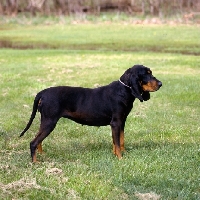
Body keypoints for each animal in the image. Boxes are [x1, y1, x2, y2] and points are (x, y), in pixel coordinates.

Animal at [19, 65, 161, 162]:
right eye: (147, 74)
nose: (160, 83)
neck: (123, 90)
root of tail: (42, 93)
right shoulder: (116, 122)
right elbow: (117, 142)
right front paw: (120, 158)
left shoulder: (122, 122)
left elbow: (120, 140)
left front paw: (121, 154)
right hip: (50, 122)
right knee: (33, 142)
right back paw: (35, 162)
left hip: (46, 121)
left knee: (38, 140)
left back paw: (42, 155)